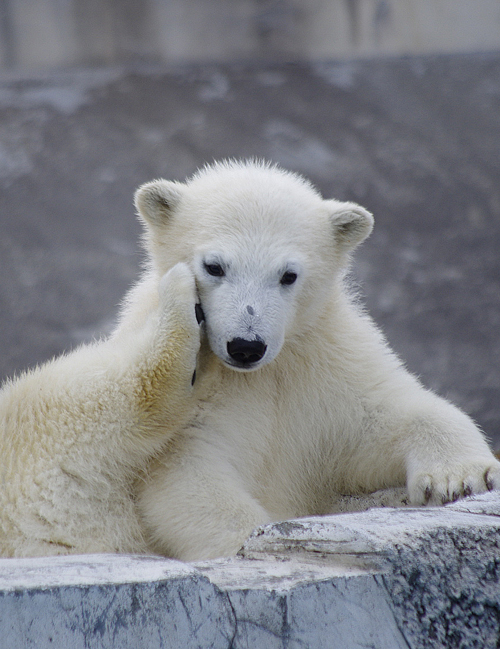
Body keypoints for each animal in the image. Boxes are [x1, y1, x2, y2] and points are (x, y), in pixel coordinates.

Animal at [134, 159, 500, 560]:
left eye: (288, 275)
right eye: (214, 266)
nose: (246, 346)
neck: (261, 372)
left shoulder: (329, 365)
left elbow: (385, 418)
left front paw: (459, 478)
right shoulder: (194, 402)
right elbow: (189, 475)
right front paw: (255, 540)